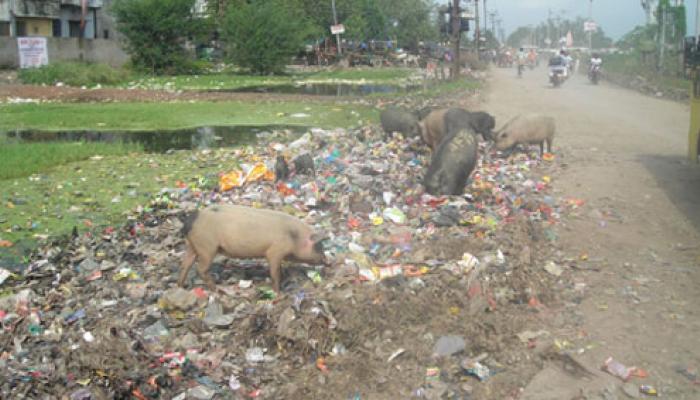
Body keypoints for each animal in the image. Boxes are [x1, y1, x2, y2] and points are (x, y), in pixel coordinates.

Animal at [178, 206, 326, 294]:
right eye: (319, 246)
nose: (327, 261)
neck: (294, 237)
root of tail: (190, 221)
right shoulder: (274, 251)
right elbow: (274, 273)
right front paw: (278, 293)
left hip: (191, 245)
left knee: (185, 264)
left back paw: (180, 286)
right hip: (207, 247)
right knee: (201, 269)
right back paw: (217, 290)